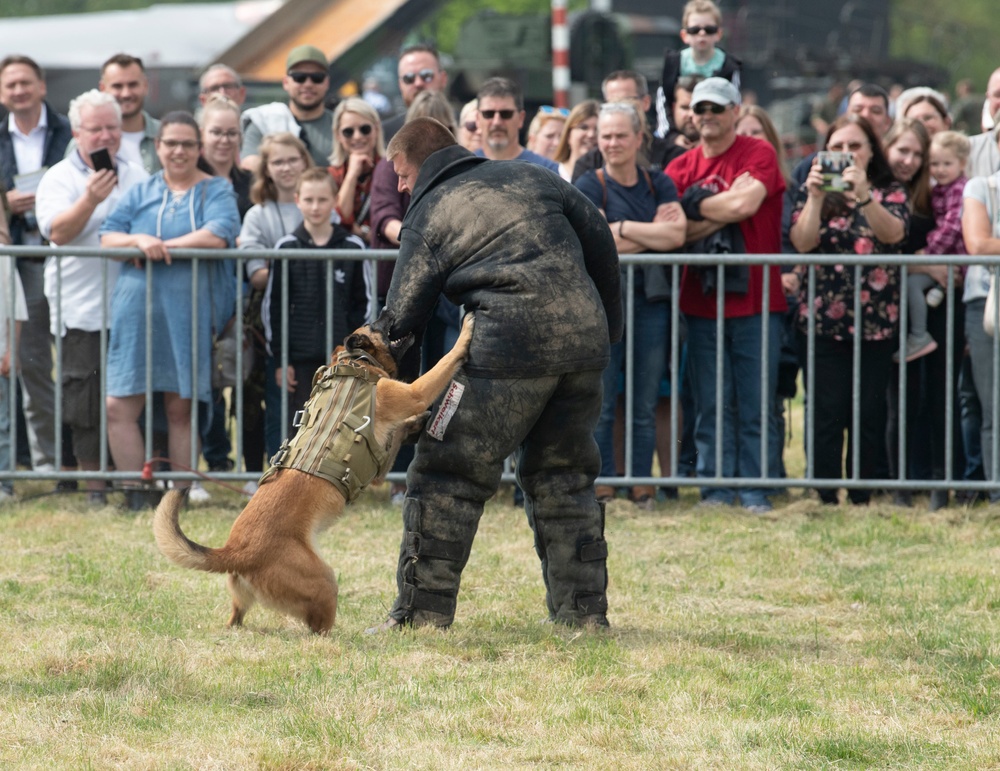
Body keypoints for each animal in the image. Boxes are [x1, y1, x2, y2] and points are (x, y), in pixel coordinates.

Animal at [151, 310, 472, 636]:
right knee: (319, 628)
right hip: (323, 581)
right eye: (376, 324)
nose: (387, 310)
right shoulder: (412, 393)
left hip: (247, 599)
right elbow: (440, 366)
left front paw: (415, 424)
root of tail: (235, 551)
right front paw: (465, 335)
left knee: (236, 617)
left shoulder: (381, 464)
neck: (355, 363)